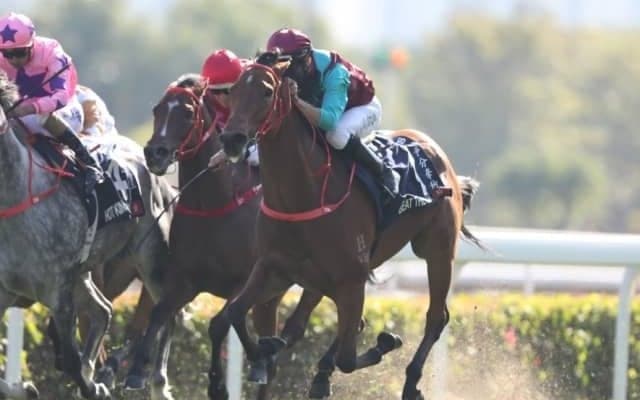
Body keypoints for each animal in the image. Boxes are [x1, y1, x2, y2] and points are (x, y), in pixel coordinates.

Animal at [0, 71, 174, 399]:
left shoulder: (58, 288)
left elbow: (69, 360)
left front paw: (94, 387)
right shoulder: (9, 289)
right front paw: (25, 387)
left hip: (151, 259)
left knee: (168, 313)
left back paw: (157, 383)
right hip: (84, 273)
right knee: (103, 310)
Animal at [124, 73, 325, 400]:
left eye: (187, 113)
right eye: (157, 110)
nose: (155, 153)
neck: (213, 206)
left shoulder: (243, 280)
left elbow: (219, 322)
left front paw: (218, 383)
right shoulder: (186, 281)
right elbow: (159, 312)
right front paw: (136, 370)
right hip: (270, 295)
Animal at [217, 52, 484, 400]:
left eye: (266, 91)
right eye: (233, 91)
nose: (231, 139)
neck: (304, 194)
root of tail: (436, 153)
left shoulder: (350, 277)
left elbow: (348, 355)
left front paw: (385, 342)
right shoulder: (273, 267)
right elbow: (235, 313)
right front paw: (264, 354)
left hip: (436, 251)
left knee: (435, 317)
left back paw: (410, 382)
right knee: (317, 325)